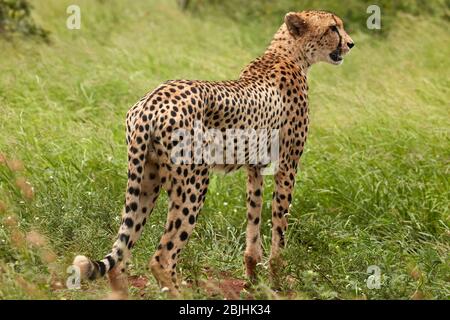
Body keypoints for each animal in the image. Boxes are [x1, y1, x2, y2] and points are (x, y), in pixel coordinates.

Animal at [73, 10, 356, 300]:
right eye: (333, 28)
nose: (350, 43)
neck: (287, 54)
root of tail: (150, 102)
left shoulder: (254, 167)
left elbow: (253, 223)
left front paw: (253, 281)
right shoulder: (288, 166)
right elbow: (280, 228)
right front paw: (277, 284)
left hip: (145, 179)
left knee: (121, 256)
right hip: (193, 183)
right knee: (162, 257)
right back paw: (182, 293)